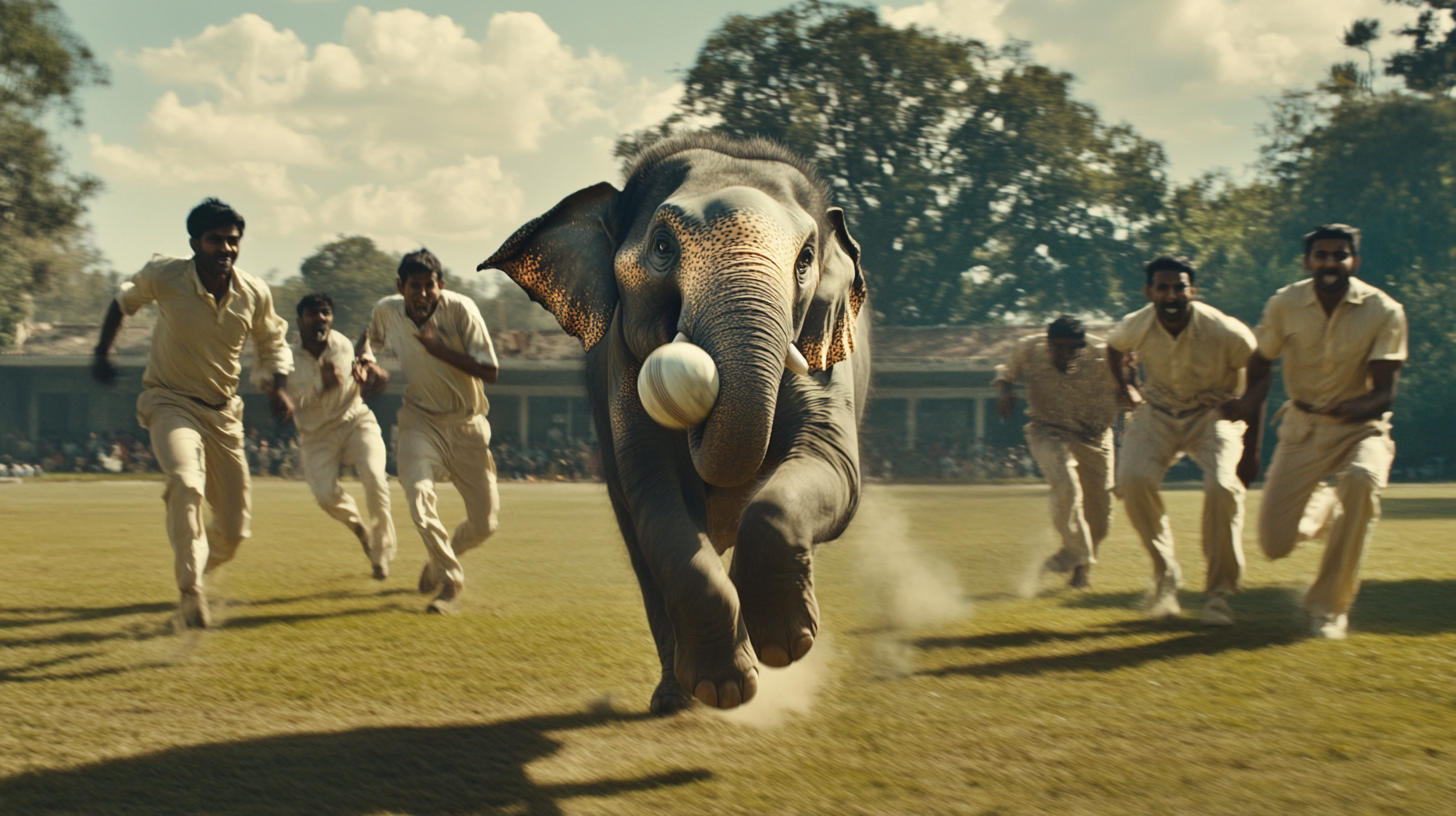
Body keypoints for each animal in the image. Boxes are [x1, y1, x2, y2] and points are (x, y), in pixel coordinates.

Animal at [480, 134, 861, 714]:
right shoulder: (621, 365)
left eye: (806, 260)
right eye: (662, 247)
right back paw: (678, 698)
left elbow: (829, 462)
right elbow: (659, 494)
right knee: (644, 553)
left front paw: (783, 643)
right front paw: (727, 688)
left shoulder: (827, 348)